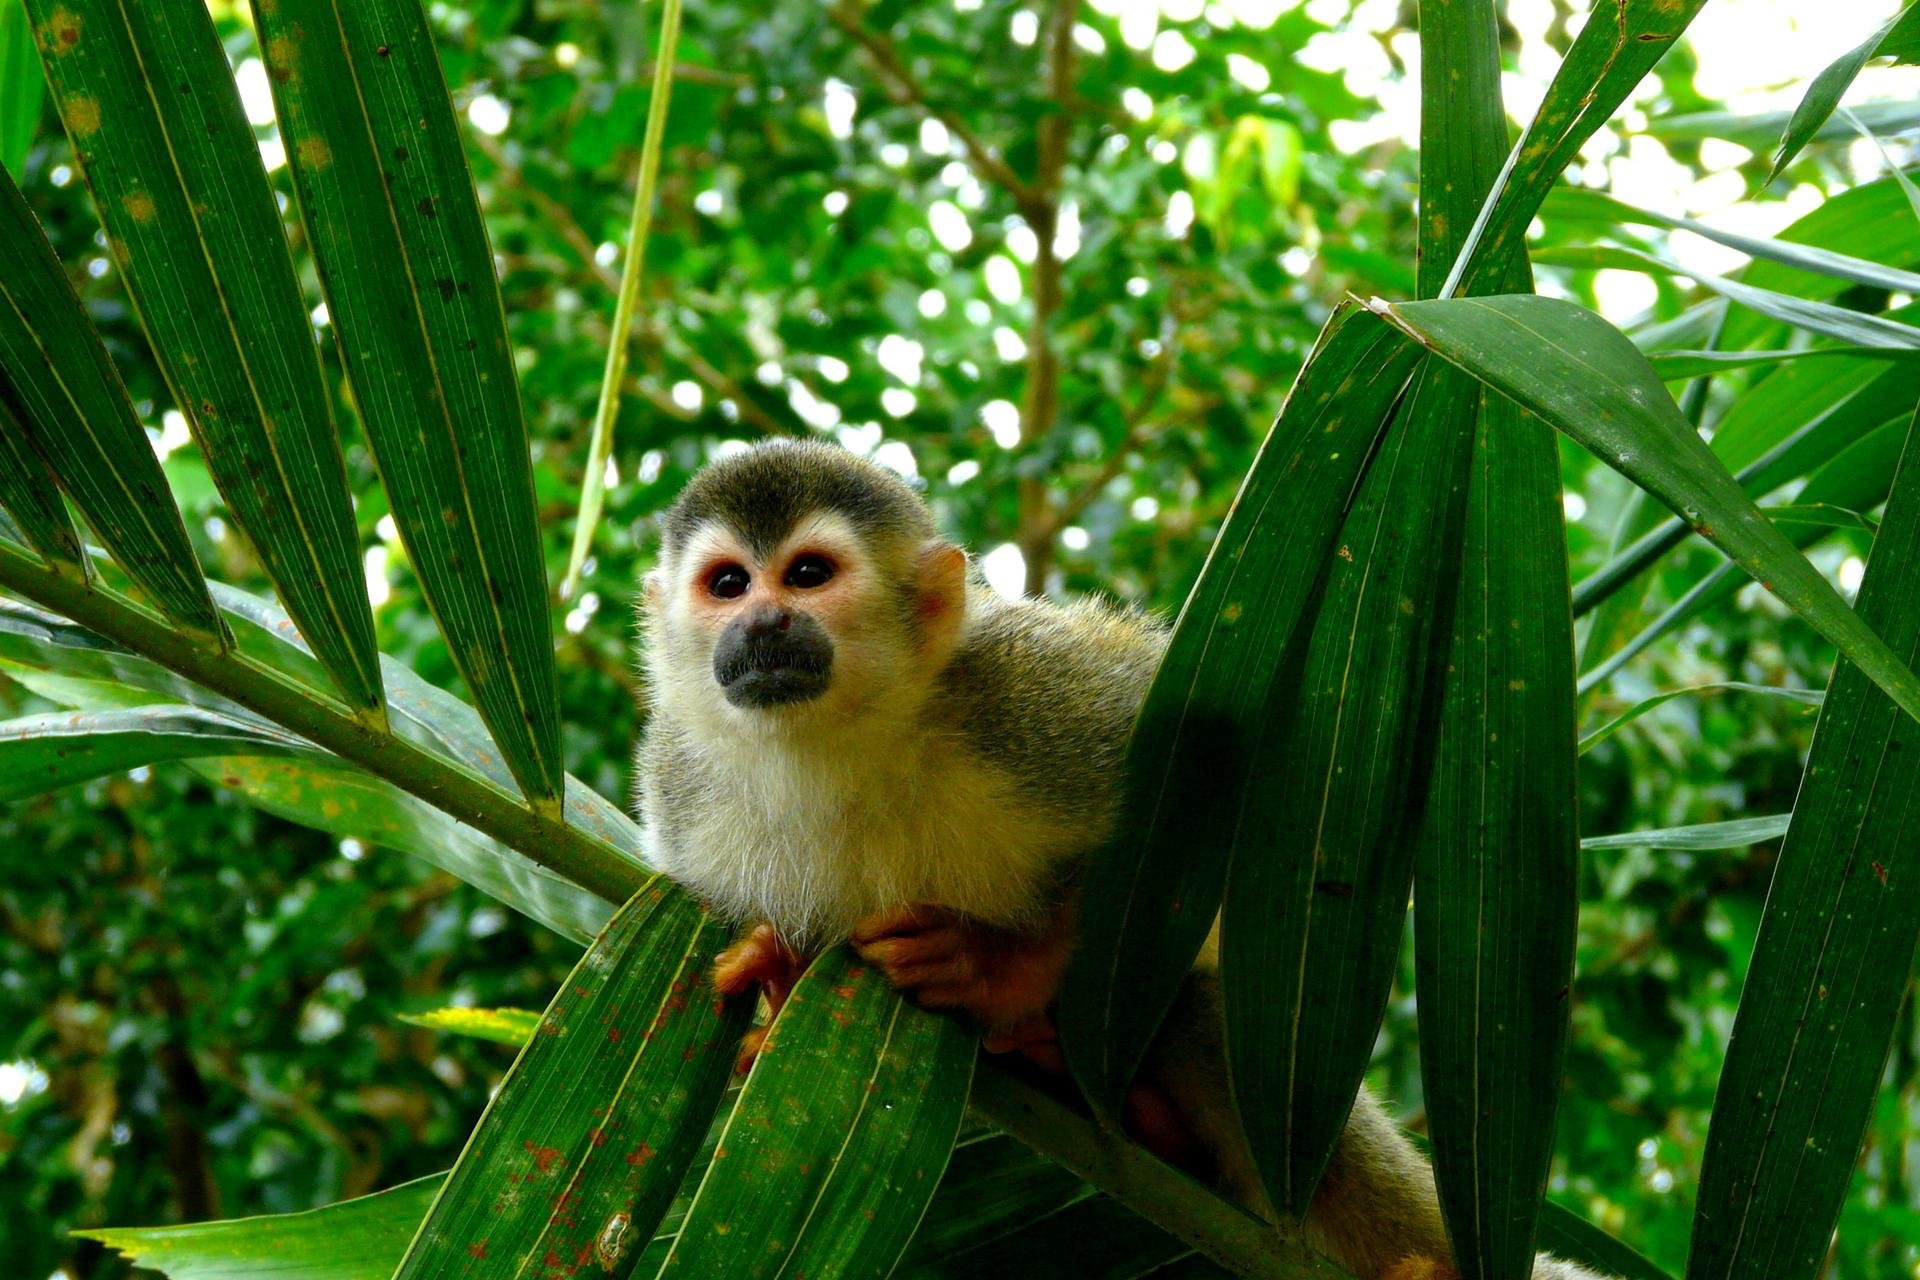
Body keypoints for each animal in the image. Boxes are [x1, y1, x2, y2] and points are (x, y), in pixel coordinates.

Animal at [641, 443, 1605, 1280]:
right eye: (728, 583)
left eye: (808, 575)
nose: (763, 621)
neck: (840, 742)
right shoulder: (683, 801)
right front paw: (779, 979)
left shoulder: (1022, 697)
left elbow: (1229, 766)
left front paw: (997, 967)